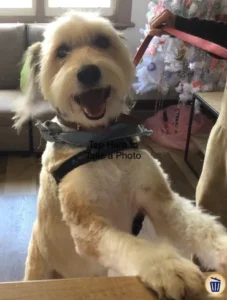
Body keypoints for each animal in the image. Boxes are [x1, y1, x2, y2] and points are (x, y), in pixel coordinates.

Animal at [12, 9, 227, 300]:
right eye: (62, 51)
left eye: (102, 42)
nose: (88, 72)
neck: (101, 142)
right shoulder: (88, 226)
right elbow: (132, 245)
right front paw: (168, 267)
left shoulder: (162, 202)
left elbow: (201, 228)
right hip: (39, 270)